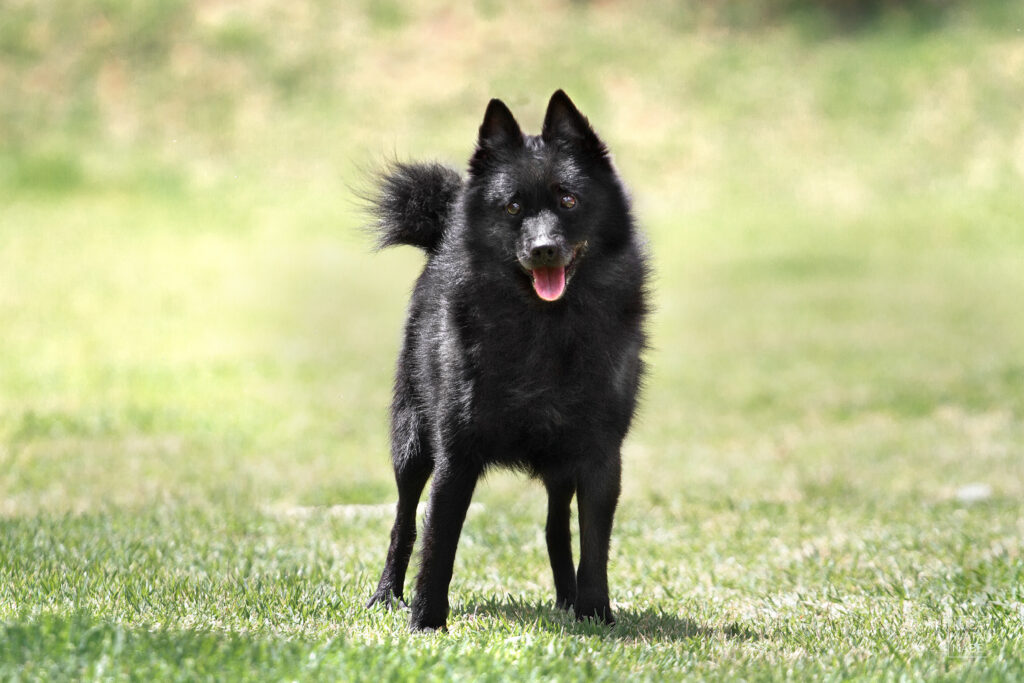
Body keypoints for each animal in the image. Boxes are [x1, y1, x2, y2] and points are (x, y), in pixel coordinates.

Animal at [364, 92, 643, 634]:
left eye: (568, 200)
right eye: (513, 206)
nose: (544, 250)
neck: (544, 329)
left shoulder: (600, 455)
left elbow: (594, 544)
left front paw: (596, 613)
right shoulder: (455, 453)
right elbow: (439, 541)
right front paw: (427, 622)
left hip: (560, 465)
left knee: (557, 527)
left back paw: (567, 601)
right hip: (412, 443)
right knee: (403, 521)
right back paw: (386, 596)